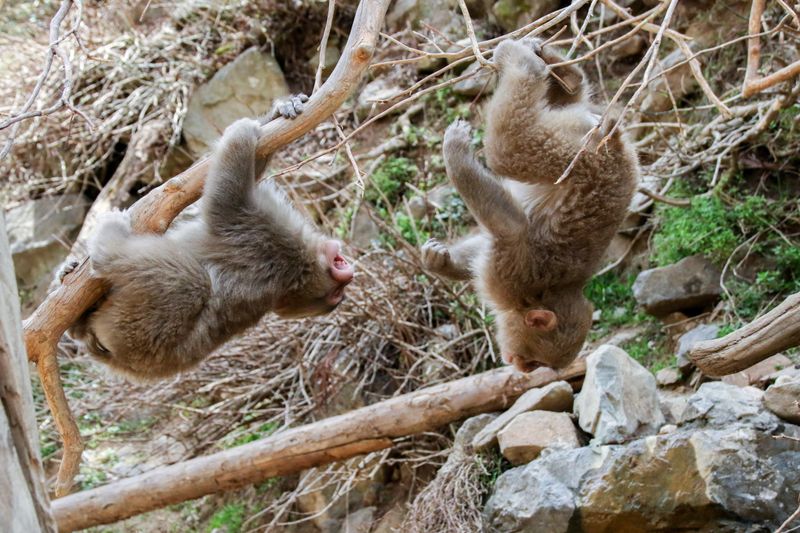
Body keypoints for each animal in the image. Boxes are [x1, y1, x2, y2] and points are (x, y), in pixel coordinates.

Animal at [61, 94, 355, 380]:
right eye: (339, 291)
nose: (349, 276)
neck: (300, 271)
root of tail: (114, 356)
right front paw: (280, 110)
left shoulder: (267, 233)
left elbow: (226, 197)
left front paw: (241, 133)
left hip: (134, 332)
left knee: (188, 282)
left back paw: (107, 245)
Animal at [421, 39, 639, 372]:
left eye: (535, 362)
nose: (520, 367)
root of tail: (613, 144)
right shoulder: (510, 277)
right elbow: (511, 228)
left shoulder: (506, 273)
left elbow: (502, 233)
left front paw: (441, 262)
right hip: (580, 156)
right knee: (508, 149)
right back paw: (537, 65)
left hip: (577, 148)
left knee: (525, 133)